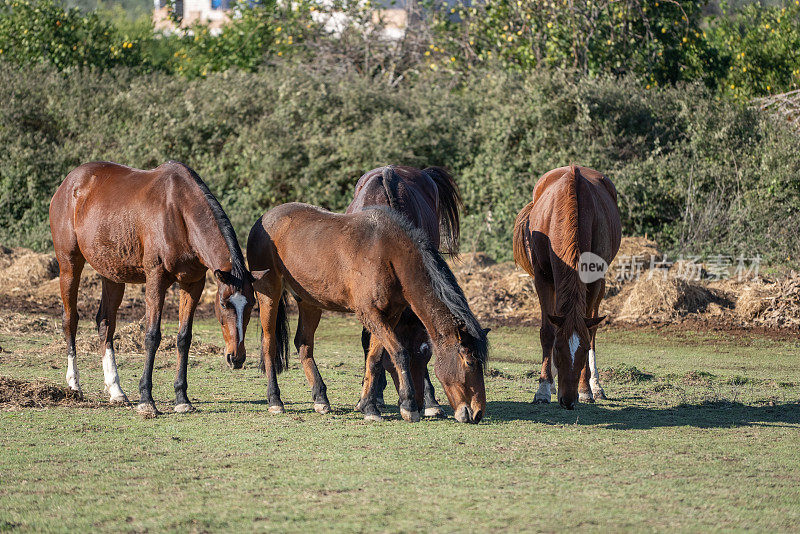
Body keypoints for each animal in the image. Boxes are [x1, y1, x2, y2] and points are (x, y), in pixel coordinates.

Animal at [50, 161, 266, 416]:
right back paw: (74, 385)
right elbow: (152, 336)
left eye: (251, 306)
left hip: (112, 275)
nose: (237, 358)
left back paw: (116, 391)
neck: (179, 212)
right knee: (70, 320)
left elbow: (184, 337)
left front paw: (182, 398)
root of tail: (69, 183)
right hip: (69, 265)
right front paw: (146, 400)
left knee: (105, 325)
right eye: (223, 304)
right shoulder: (156, 279)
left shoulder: (193, 283)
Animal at [245, 203, 488, 426]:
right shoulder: (370, 315)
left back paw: (320, 399)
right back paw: (275, 400)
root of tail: (262, 221)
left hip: (309, 302)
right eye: (469, 363)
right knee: (269, 345)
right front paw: (409, 406)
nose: (477, 413)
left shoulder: (389, 316)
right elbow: (399, 353)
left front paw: (368, 406)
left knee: (303, 344)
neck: (389, 254)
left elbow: (375, 359)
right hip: (269, 293)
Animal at [516, 166, 620, 410]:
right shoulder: (543, 278)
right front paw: (543, 388)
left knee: (593, 328)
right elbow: (548, 331)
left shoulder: (595, 281)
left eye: (582, 351)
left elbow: (589, 332)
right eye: (558, 350)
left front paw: (585, 389)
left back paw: (594, 385)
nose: (568, 401)